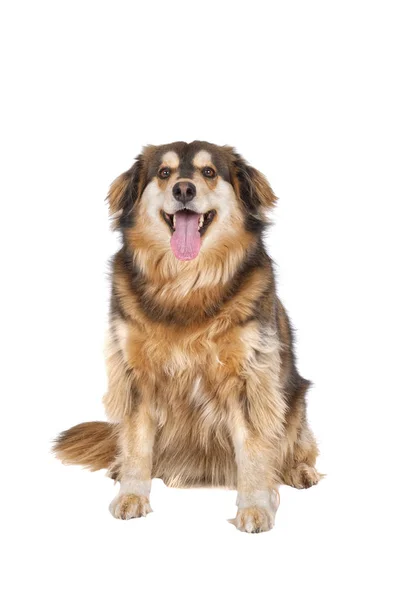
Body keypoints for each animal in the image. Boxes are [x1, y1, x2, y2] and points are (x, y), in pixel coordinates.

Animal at [54, 142, 322, 536]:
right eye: (164, 173)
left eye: (208, 172)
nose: (183, 189)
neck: (185, 284)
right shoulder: (135, 373)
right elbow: (136, 442)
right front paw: (131, 494)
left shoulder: (251, 375)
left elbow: (255, 448)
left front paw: (255, 506)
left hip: (296, 399)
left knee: (296, 444)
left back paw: (300, 471)